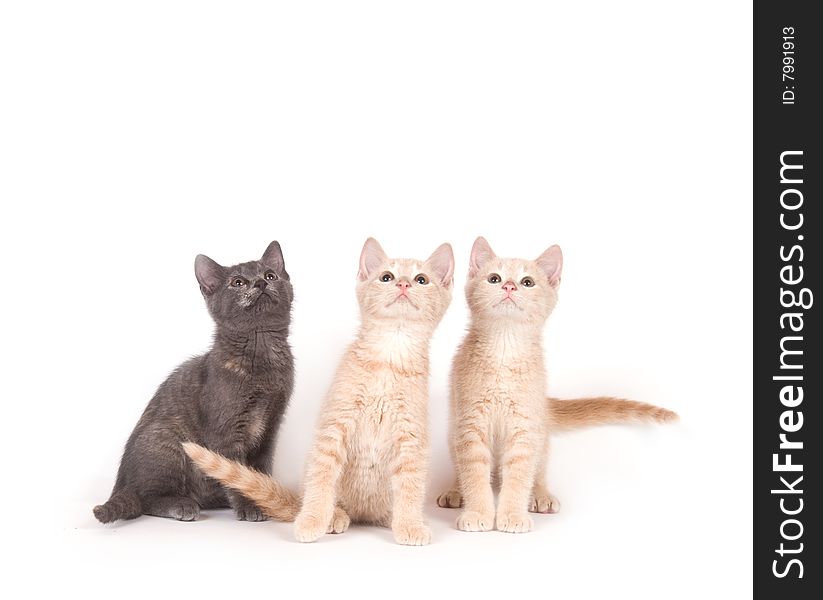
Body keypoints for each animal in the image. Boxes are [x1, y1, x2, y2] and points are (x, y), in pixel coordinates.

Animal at [93, 241, 296, 524]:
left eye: (270, 275)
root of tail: (120, 485)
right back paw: (182, 505)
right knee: (145, 499)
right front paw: (249, 506)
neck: (262, 350)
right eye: (237, 282)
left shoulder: (270, 428)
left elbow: (259, 469)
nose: (260, 283)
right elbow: (236, 472)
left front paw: (266, 497)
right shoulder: (226, 431)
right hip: (167, 440)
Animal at [183, 238, 454, 544]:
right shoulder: (333, 429)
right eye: (386, 277)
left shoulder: (411, 438)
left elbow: (410, 486)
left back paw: (395, 519)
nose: (404, 284)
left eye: (422, 280)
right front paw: (312, 521)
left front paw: (410, 525)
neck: (389, 353)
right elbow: (322, 480)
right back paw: (332, 516)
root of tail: (364, 515)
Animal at [438, 237, 676, 532]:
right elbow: (473, 473)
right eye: (494, 278)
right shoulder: (470, 424)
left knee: (538, 470)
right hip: (453, 430)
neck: (504, 348)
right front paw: (478, 513)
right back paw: (454, 491)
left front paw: (512, 516)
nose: (509, 286)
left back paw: (541, 495)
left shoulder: (525, 429)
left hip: (540, 434)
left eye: (527, 282)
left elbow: (520, 476)